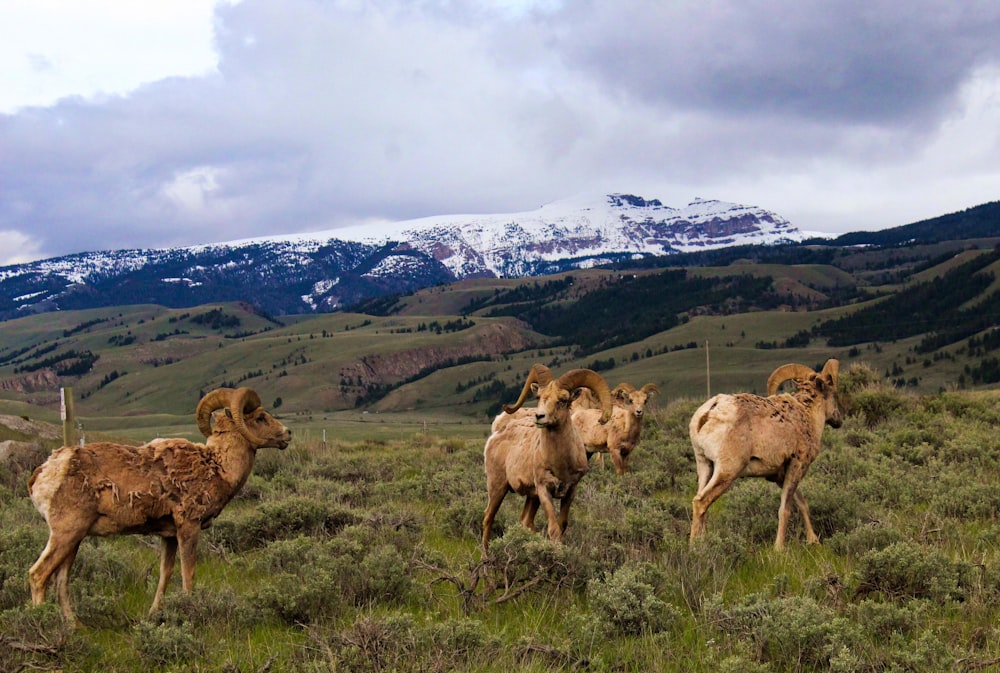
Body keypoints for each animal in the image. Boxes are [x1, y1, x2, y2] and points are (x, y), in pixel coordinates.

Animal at [27, 386, 292, 624]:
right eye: (260, 417)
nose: (288, 434)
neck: (217, 467)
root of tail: (47, 469)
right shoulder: (188, 527)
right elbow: (188, 573)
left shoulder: (169, 537)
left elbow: (165, 574)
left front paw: (154, 614)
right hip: (65, 534)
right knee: (38, 575)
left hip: (75, 540)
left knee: (60, 581)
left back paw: (75, 626)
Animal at [482, 364, 612, 548]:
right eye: (539, 397)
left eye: (563, 400)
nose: (539, 416)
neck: (561, 464)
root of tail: (495, 436)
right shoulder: (544, 490)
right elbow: (554, 529)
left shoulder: (570, 490)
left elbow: (562, 524)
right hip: (497, 487)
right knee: (488, 518)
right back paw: (485, 553)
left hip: (530, 497)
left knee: (525, 521)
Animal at [688, 360, 844, 548]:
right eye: (834, 394)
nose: (838, 421)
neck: (807, 415)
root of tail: (709, 412)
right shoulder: (796, 466)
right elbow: (785, 509)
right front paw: (779, 548)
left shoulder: (780, 476)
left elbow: (802, 503)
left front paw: (813, 540)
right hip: (727, 470)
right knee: (701, 502)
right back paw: (695, 548)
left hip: (705, 465)